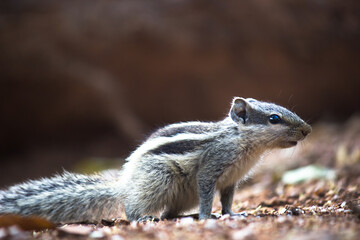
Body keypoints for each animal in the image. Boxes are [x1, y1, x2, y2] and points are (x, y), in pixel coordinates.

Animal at [0, 97, 310, 223]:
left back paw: (182, 216)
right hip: (158, 179)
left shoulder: (231, 180)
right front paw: (207, 217)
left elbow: (227, 199)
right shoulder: (211, 169)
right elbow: (207, 193)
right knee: (133, 209)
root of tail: (124, 185)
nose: (307, 130)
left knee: (169, 213)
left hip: (180, 194)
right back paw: (144, 217)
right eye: (274, 119)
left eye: (281, 110)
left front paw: (232, 214)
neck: (241, 140)